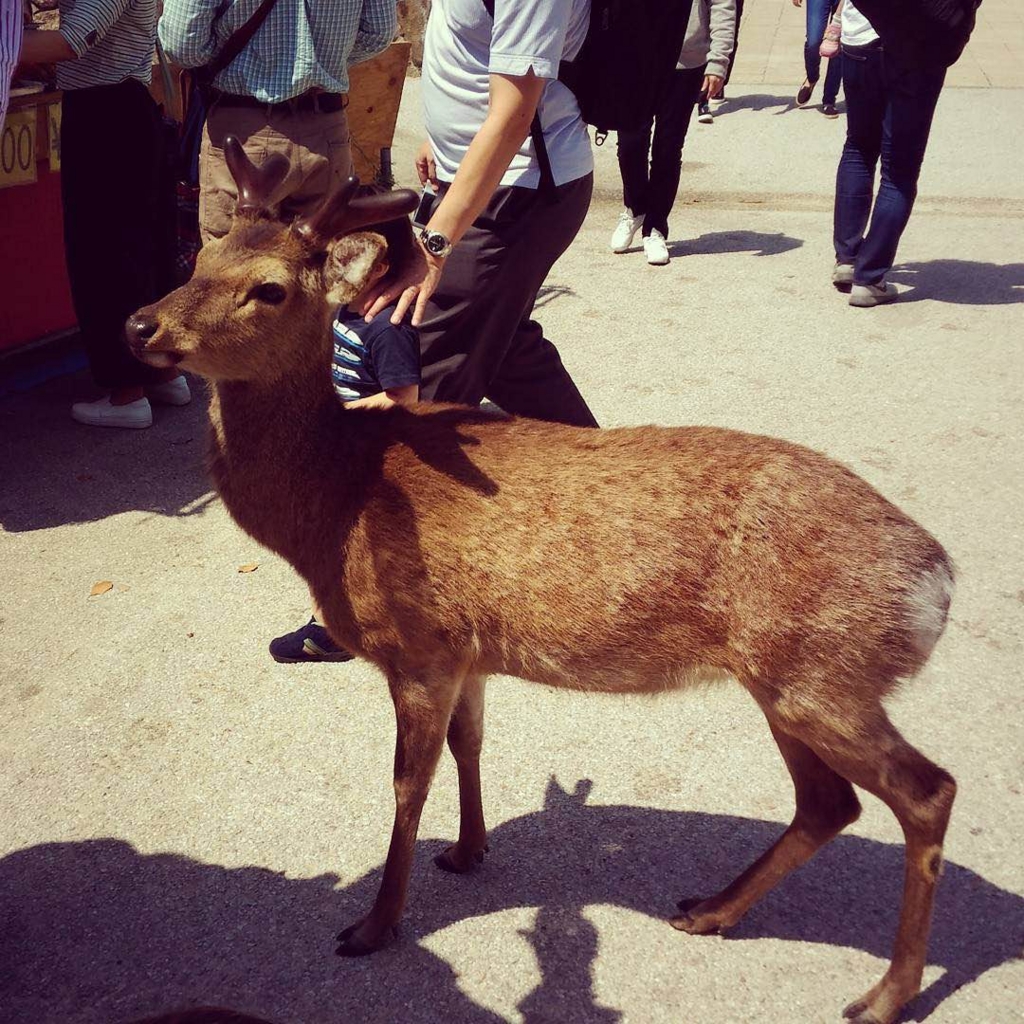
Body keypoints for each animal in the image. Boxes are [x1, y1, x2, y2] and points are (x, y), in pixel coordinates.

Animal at [128, 138, 958, 1024]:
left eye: (270, 288)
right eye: (200, 255)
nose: (140, 324)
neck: (335, 500)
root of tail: (935, 583)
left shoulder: (417, 647)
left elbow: (406, 784)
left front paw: (374, 924)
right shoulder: (467, 653)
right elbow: (470, 744)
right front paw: (469, 850)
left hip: (820, 673)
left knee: (926, 790)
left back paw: (884, 995)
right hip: (787, 681)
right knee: (829, 802)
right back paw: (709, 909)